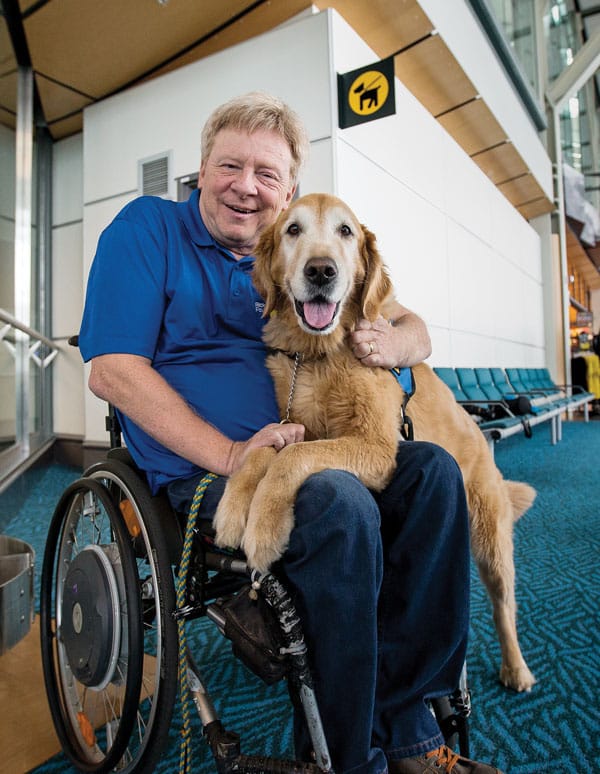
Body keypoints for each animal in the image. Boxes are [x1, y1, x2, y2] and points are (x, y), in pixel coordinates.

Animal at [213, 192, 536, 692]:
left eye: (345, 231)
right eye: (292, 230)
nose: (321, 271)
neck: (320, 355)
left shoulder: (377, 447)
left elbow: (293, 459)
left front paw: (264, 526)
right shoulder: (293, 424)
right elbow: (267, 449)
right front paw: (234, 506)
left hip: (490, 539)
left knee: (505, 605)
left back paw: (516, 668)